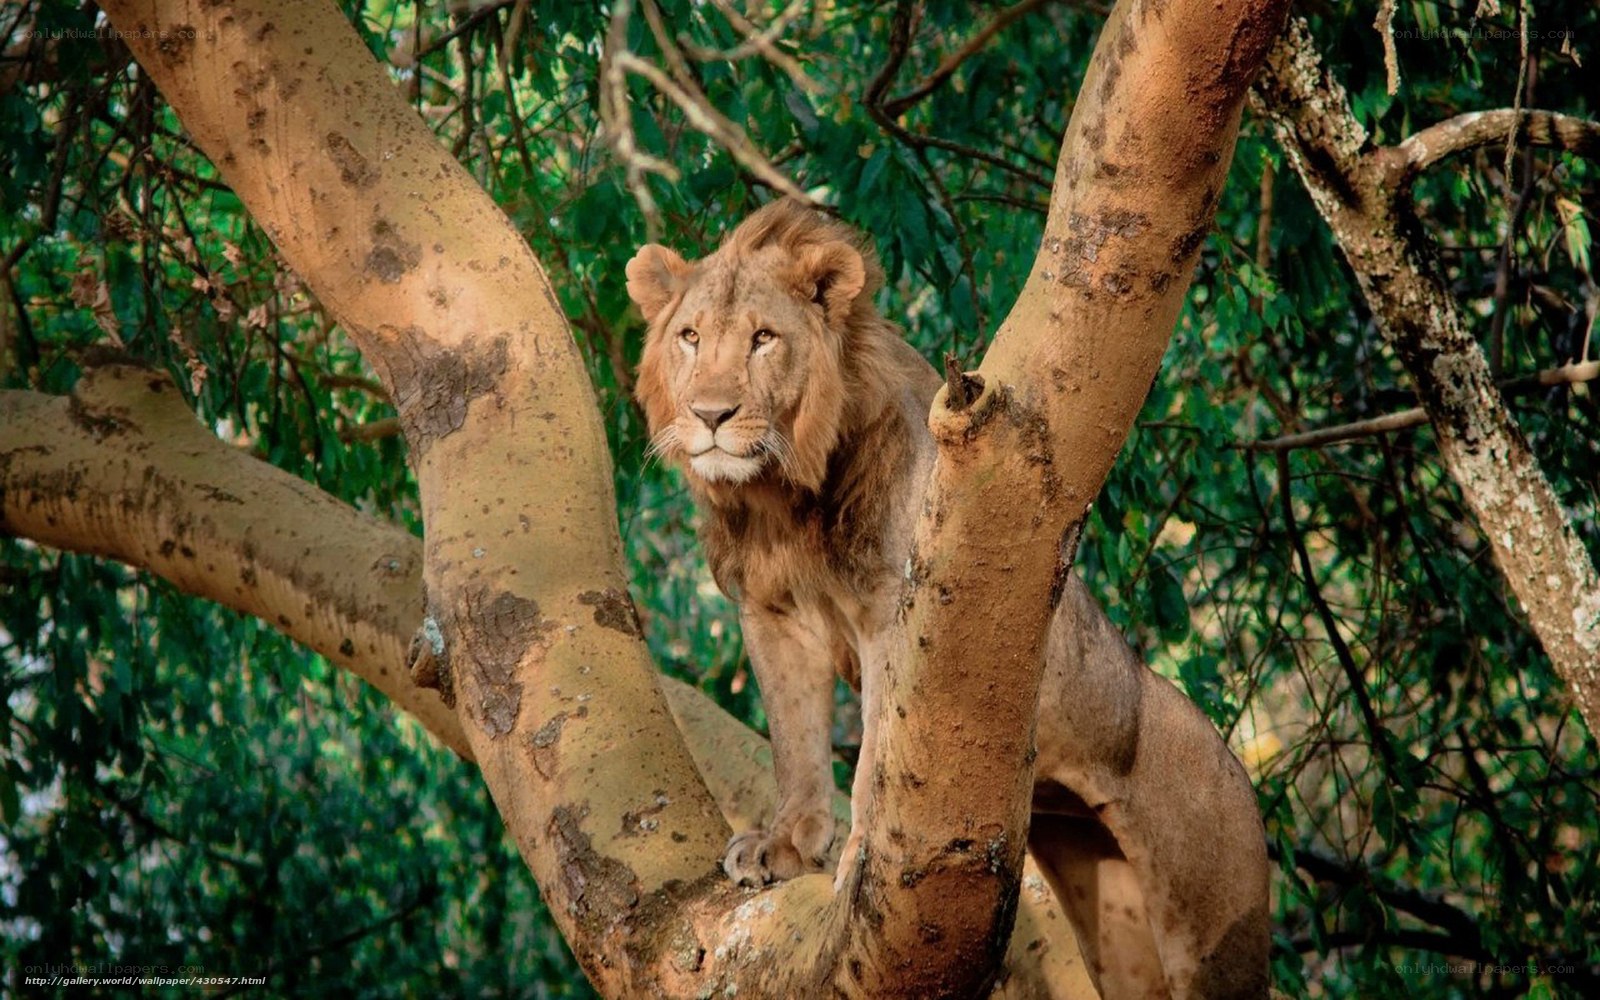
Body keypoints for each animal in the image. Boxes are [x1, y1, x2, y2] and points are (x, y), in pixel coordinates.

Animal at [627, 200, 1270, 999]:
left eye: (763, 339)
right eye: (689, 337)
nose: (711, 415)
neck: (782, 496)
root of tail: (1243, 784)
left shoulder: (888, 614)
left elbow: (874, 752)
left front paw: (853, 863)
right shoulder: (773, 615)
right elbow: (795, 742)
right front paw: (786, 846)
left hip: (1213, 930)